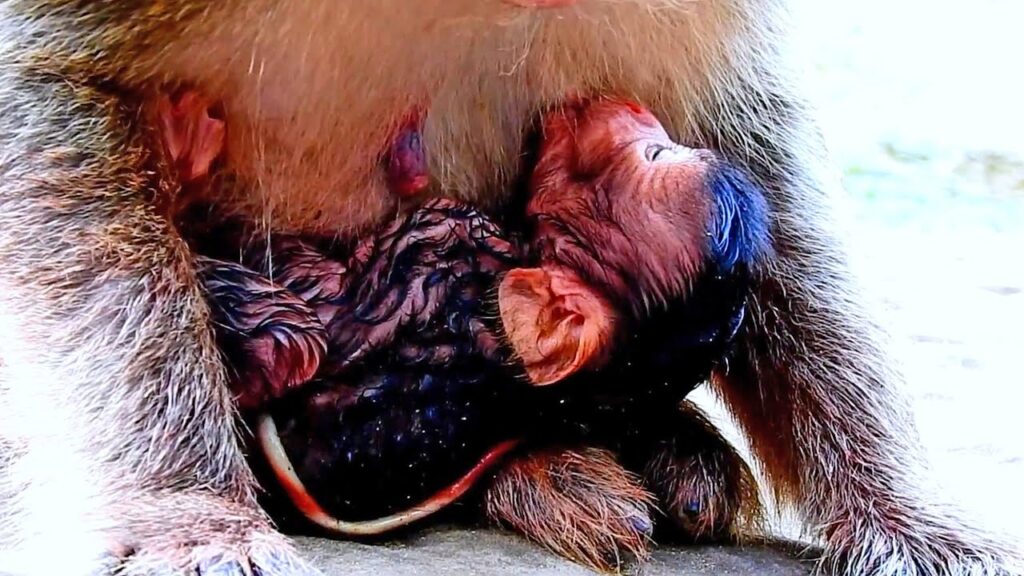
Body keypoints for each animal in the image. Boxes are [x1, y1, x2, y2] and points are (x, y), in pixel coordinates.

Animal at [0, 2, 1020, 576]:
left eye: (648, 155)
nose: (615, 115)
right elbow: (48, 104)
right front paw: (185, 509)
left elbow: (749, 130)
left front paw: (904, 512)